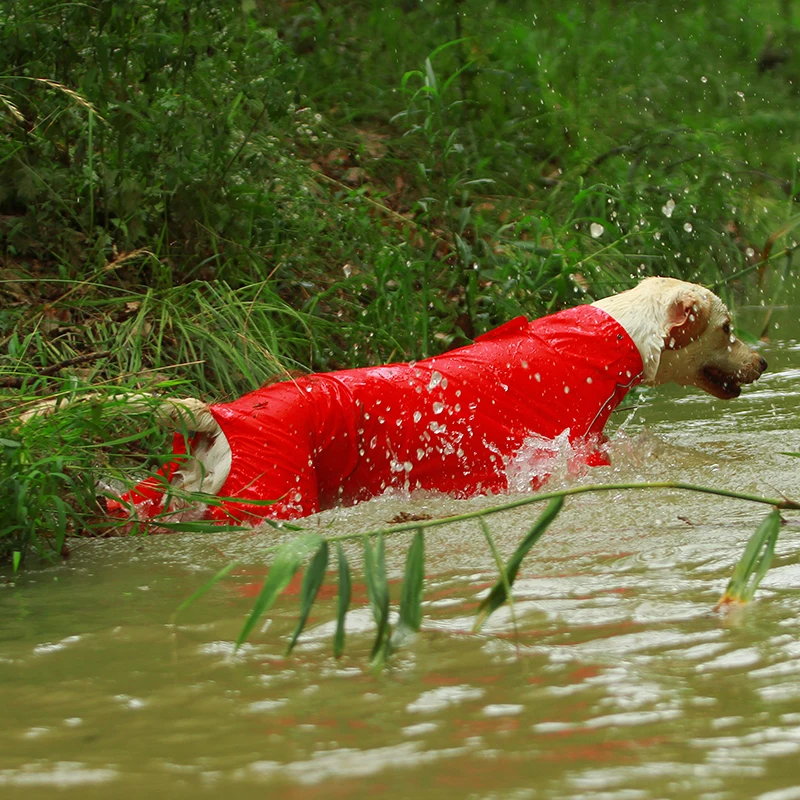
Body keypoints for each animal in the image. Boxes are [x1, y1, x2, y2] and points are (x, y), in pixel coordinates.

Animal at [21, 276, 764, 524]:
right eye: (728, 329)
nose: (765, 360)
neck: (607, 338)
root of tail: (216, 415)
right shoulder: (557, 454)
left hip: (178, 490)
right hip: (270, 498)